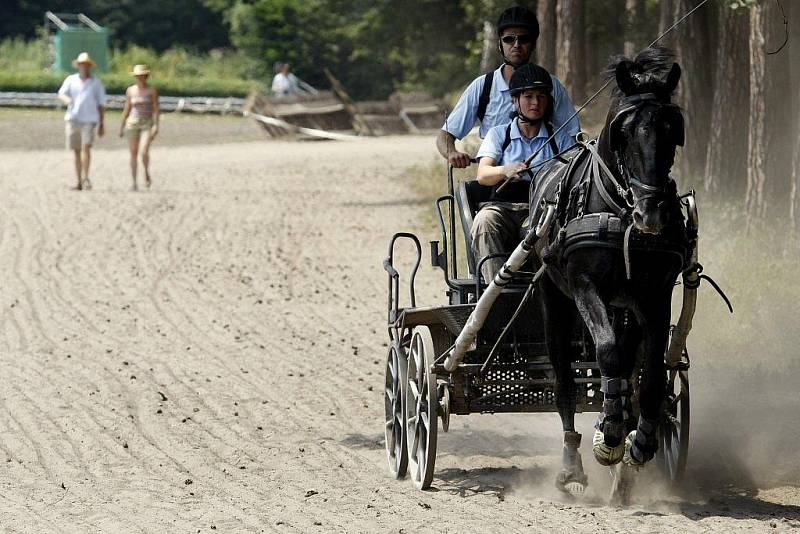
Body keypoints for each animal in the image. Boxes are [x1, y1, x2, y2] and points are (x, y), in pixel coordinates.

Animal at [532, 48, 688, 496]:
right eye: (624, 130)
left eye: (672, 130)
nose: (652, 213)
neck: (620, 212)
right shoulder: (585, 287)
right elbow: (606, 352)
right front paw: (612, 434)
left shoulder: (655, 295)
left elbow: (651, 376)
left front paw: (640, 443)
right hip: (554, 301)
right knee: (565, 381)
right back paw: (573, 464)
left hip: (626, 307)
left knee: (631, 362)